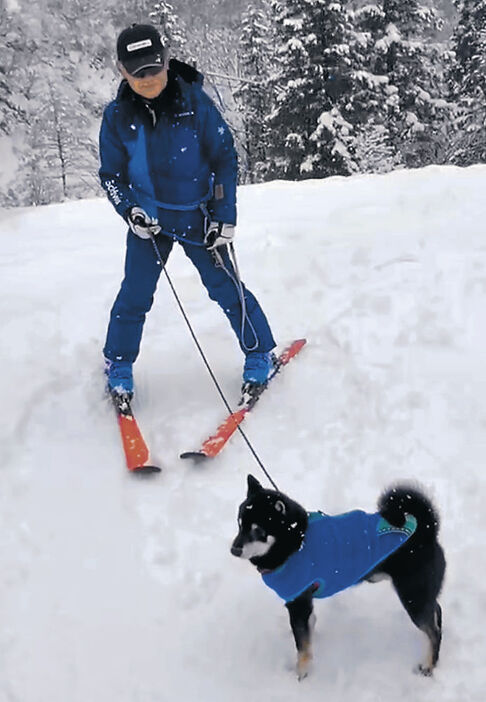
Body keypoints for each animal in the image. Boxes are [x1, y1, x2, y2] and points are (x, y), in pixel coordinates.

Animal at [230, 478, 446, 680]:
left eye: (258, 531)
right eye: (240, 524)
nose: (234, 550)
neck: (296, 541)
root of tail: (426, 530)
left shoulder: (298, 603)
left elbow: (302, 645)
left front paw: (302, 672)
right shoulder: (304, 604)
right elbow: (308, 629)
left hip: (412, 596)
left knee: (433, 632)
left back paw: (429, 664)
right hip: (421, 594)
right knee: (436, 611)